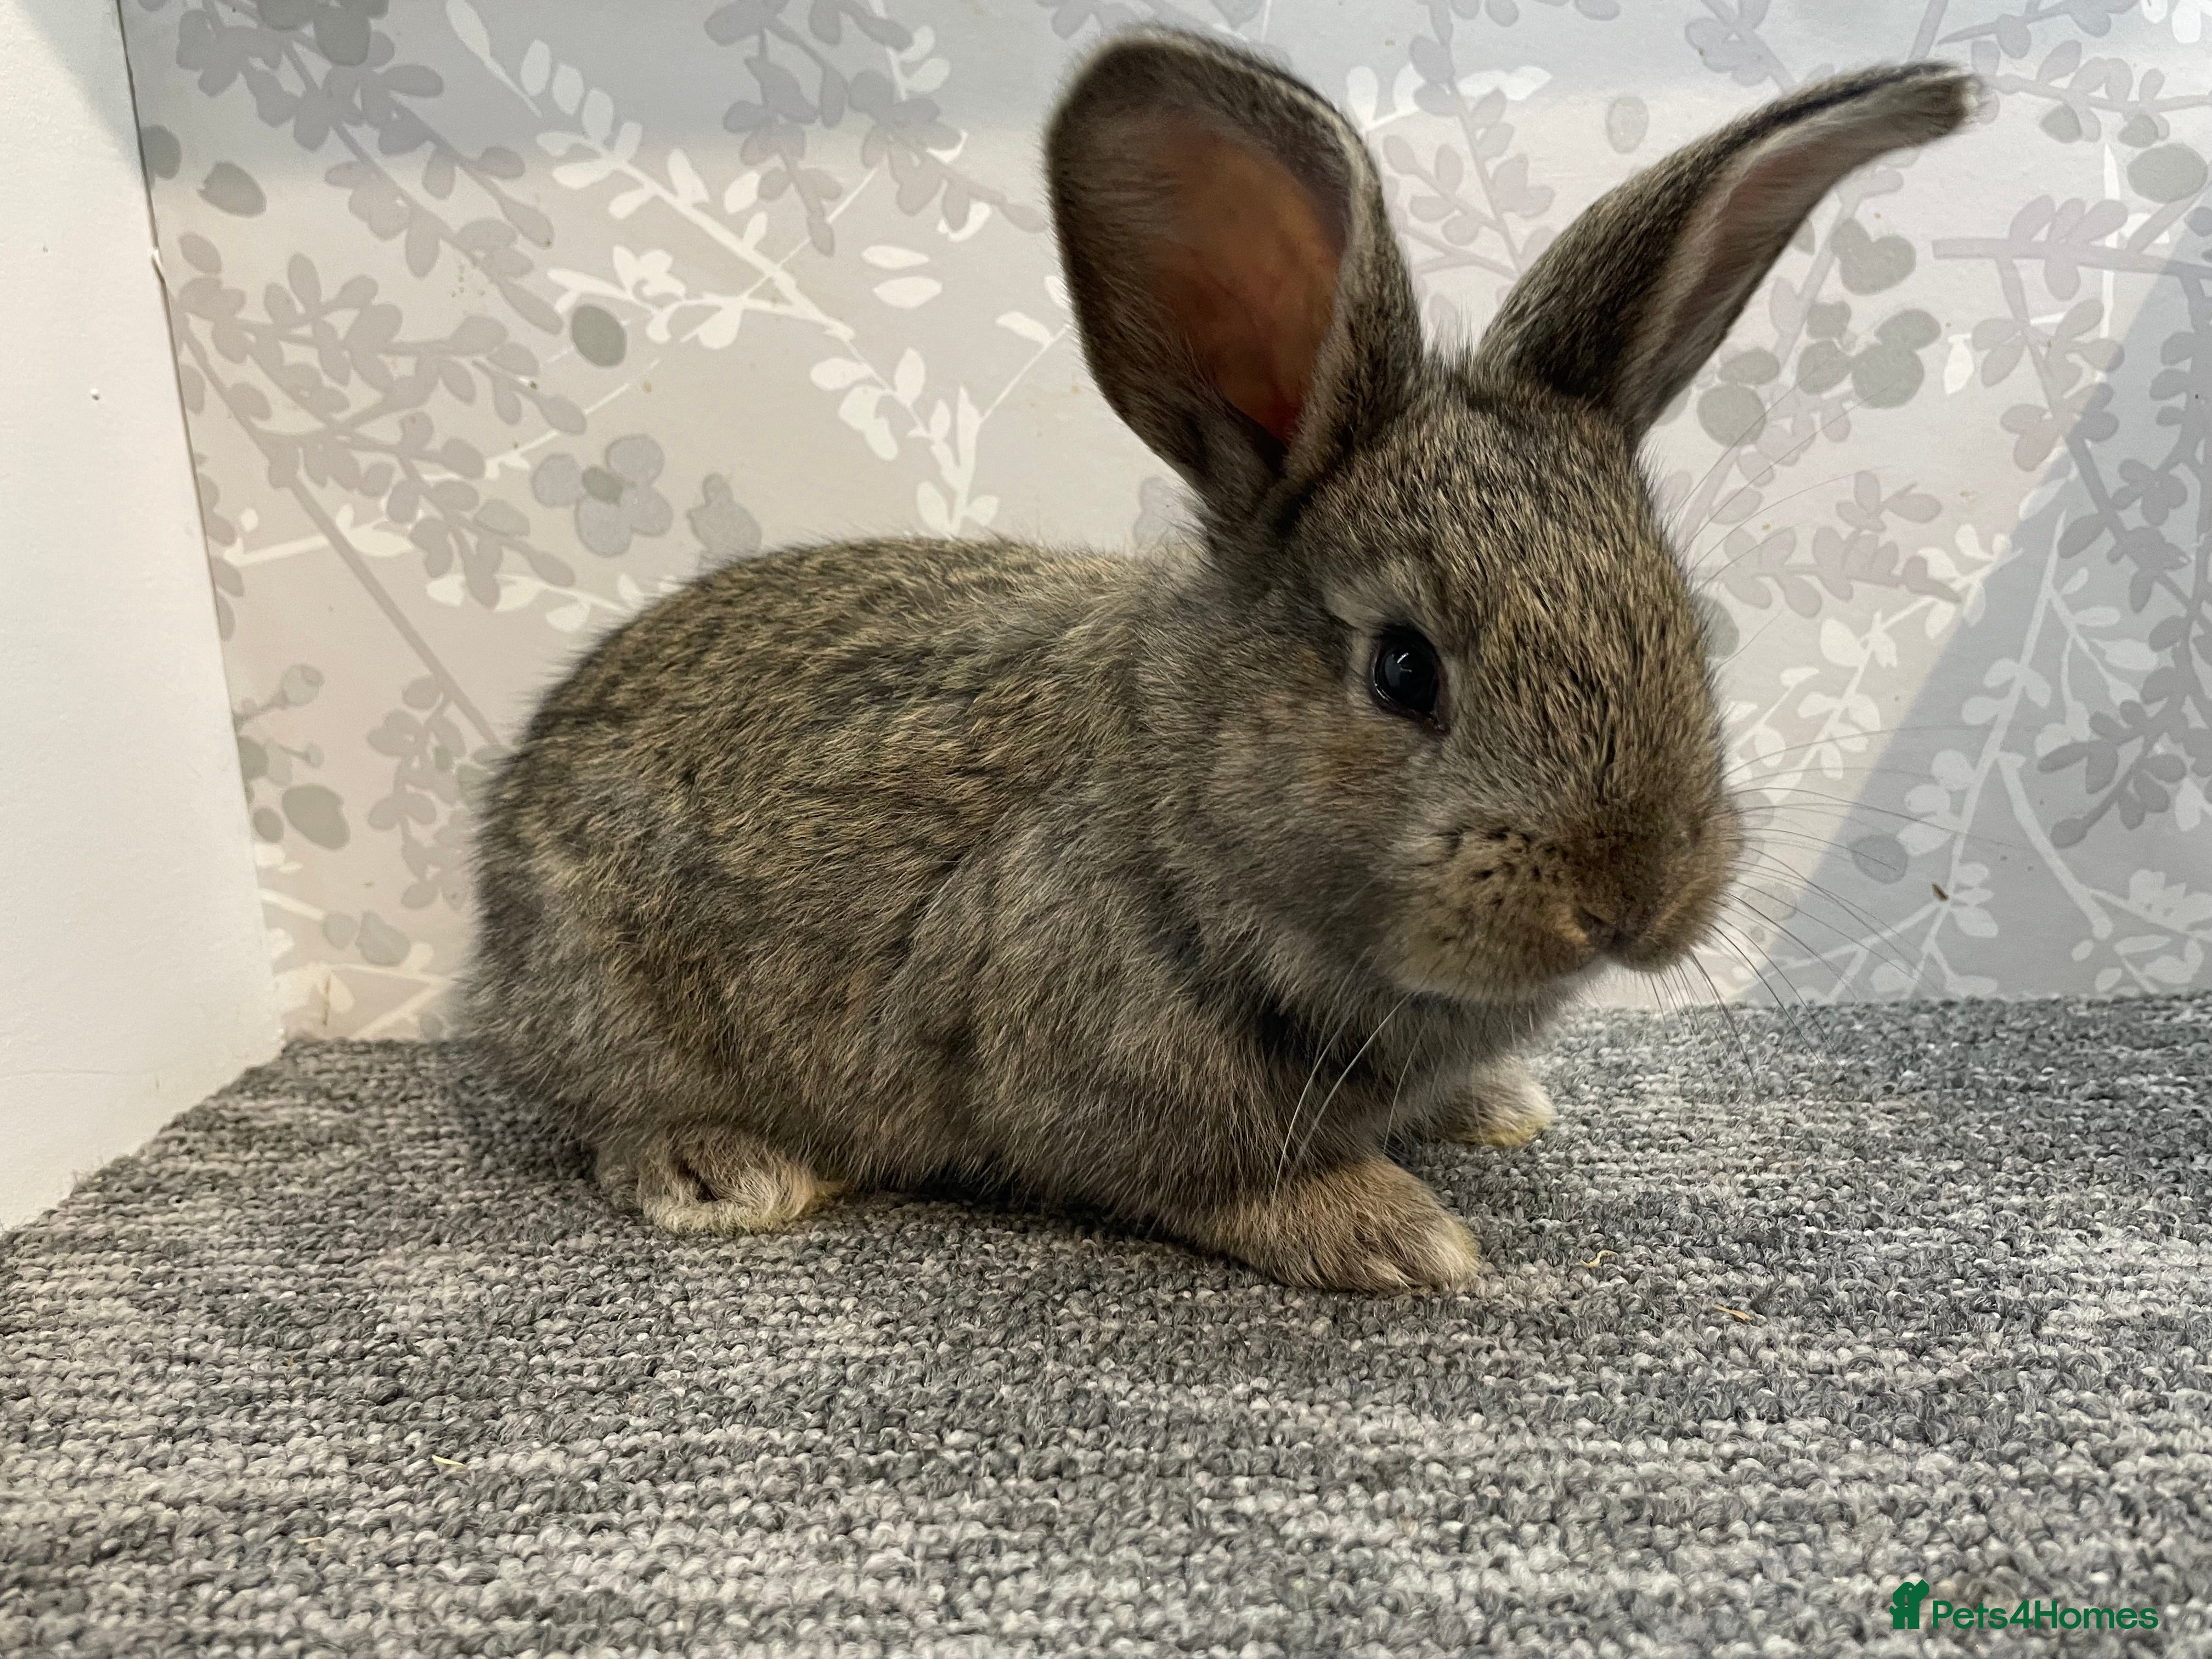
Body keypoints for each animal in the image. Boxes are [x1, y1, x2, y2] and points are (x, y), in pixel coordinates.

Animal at [469, 29, 1976, 1294]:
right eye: (1404, 670)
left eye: (1687, 624)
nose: (1634, 897)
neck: (1190, 812)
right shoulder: (1094, 1078)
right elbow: (1211, 1179)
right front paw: (1395, 1233)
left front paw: (1490, 1113)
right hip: (608, 1001)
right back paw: (720, 1166)